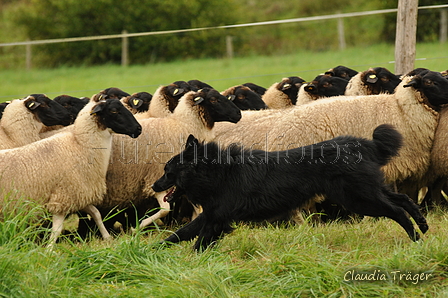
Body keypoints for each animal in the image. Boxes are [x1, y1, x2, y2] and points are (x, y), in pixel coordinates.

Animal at [0, 96, 142, 246]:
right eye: (114, 110)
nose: (139, 129)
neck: (80, 147)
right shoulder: (62, 197)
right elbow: (57, 230)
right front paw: (49, 249)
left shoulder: (80, 193)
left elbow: (96, 213)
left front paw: (107, 237)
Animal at [81, 86, 243, 233]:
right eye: (214, 99)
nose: (239, 113)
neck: (183, 126)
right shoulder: (157, 177)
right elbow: (165, 209)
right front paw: (138, 227)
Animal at [153, 124, 428, 251]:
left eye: (167, 171)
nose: (154, 187)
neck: (216, 173)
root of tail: (361, 145)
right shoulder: (212, 215)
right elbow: (178, 235)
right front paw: (152, 252)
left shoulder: (216, 219)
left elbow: (196, 241)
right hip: (367, 191)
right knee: (402, 199)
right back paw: (423, 226)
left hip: (359, 198)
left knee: (397, 210)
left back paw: (415, 238)